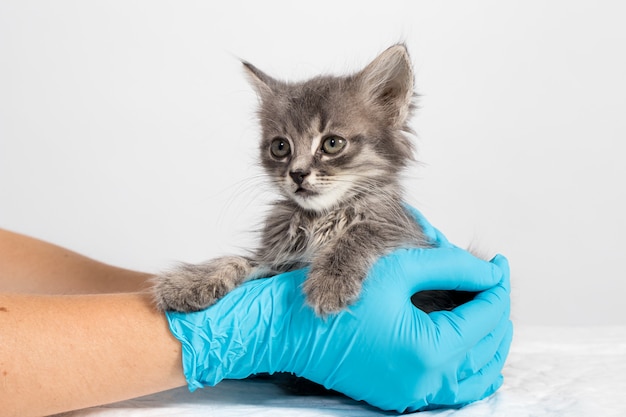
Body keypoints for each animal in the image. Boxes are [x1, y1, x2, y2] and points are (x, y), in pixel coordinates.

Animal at [154, 44, 470, 314]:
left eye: (332, 143)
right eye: (280, 147)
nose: (297, 173)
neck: (319, 218)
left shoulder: (405, 232)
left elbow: (364, 231)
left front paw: (331, 280)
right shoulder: (276, 258)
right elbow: (240, 259)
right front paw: (191, 281)